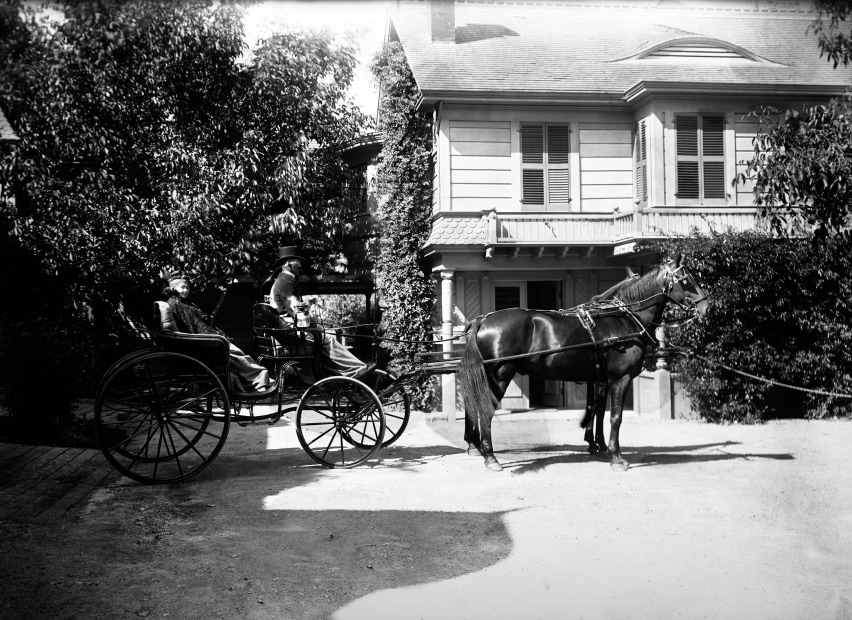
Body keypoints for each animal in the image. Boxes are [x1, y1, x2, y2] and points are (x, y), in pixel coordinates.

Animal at [456, 254, 708, 472]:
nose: (706, 307)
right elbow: (615, 417)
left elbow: (598, 411)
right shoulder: (620, 378)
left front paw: (599, 445)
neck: (625, 318)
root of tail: (484, 320)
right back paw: (490, 456)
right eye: (686, 279)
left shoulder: (600, 379)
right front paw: (616, 457)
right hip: (500, 376)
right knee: (485, 410)